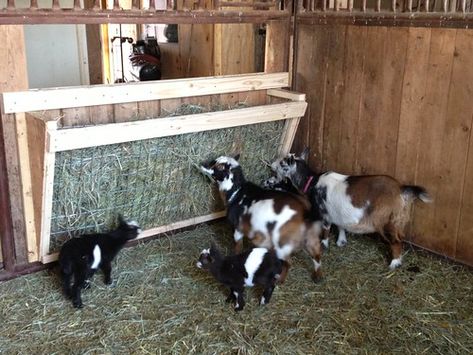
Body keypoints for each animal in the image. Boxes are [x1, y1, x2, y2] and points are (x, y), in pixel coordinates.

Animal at [197, 156, 322, 284]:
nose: (201, 164)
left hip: (282, 243)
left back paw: (280, 280)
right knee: (316, 254)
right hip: (309, 237)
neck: (236, 192)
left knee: (288, 262)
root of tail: (304, 212)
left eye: (219, 167)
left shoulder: (238, 229)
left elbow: (238, 247)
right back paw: (317, 277)